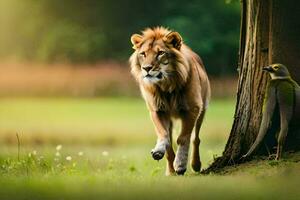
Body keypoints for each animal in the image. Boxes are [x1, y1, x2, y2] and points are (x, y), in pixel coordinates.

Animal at [129, 27, 211, 175]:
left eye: (160, 53)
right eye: (143, 54)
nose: (146, 68)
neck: (166, 85)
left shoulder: (192, 108)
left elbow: (183, 138)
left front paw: (180, 164)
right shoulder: (157, 111)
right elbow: (164, 135)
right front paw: (159, 152)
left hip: (203, 109)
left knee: (196, 138)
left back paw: (195, 164)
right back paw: (170, 171)